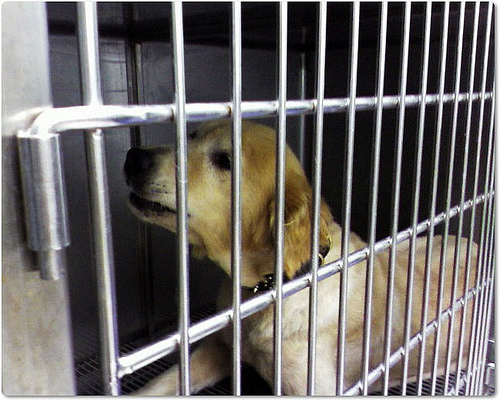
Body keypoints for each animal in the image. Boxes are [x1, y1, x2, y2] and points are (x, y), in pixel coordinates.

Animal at [124, 120, 477, 395]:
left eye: (224, 160)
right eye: (192, 135)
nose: (133, 157)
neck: (265, 289)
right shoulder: (221, 348)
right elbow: (164, 381)